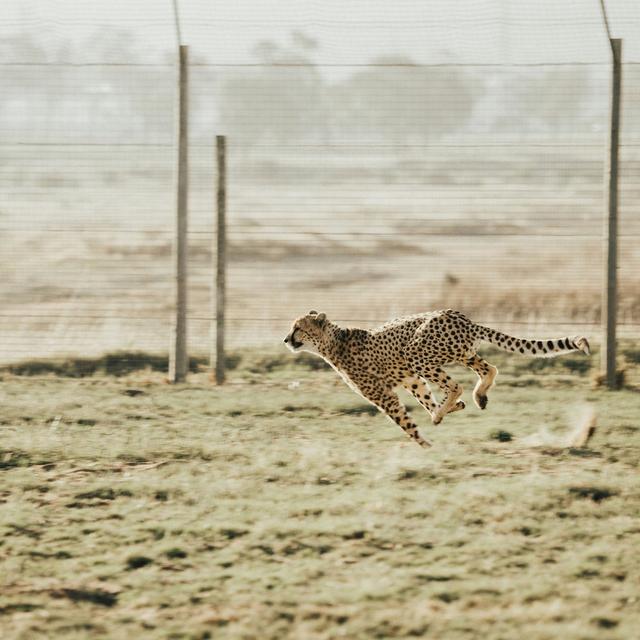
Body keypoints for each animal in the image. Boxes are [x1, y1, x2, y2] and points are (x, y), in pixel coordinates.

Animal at [284, 310, 592, 450]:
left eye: (298, 328)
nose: (286, 339)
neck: (333, 341)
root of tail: (461, 317)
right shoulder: (409, 378)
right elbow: (424, 397)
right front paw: (444, 411)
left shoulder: (384, 394)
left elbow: (405, 421)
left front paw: (425, 444)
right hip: (459, 353)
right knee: (489, 369)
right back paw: (476, 398)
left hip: (417, 352)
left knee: (456, 384)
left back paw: (449, 408)